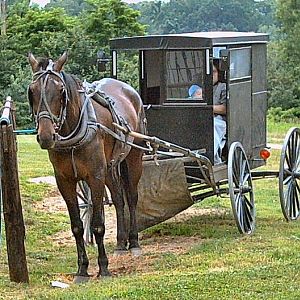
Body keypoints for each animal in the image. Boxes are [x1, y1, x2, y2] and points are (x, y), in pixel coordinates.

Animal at [27, 51, 147, 278]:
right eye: (31, 91)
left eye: (61, 91)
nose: (46, 136)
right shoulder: (64, 181)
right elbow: (76, 226)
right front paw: (82, 269)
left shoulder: (95, 176)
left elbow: (98, 224)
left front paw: (103, 267)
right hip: (109, 167)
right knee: (119, 199)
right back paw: (121, 244)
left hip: (133, 157)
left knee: (132, 198)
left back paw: (134, 243)